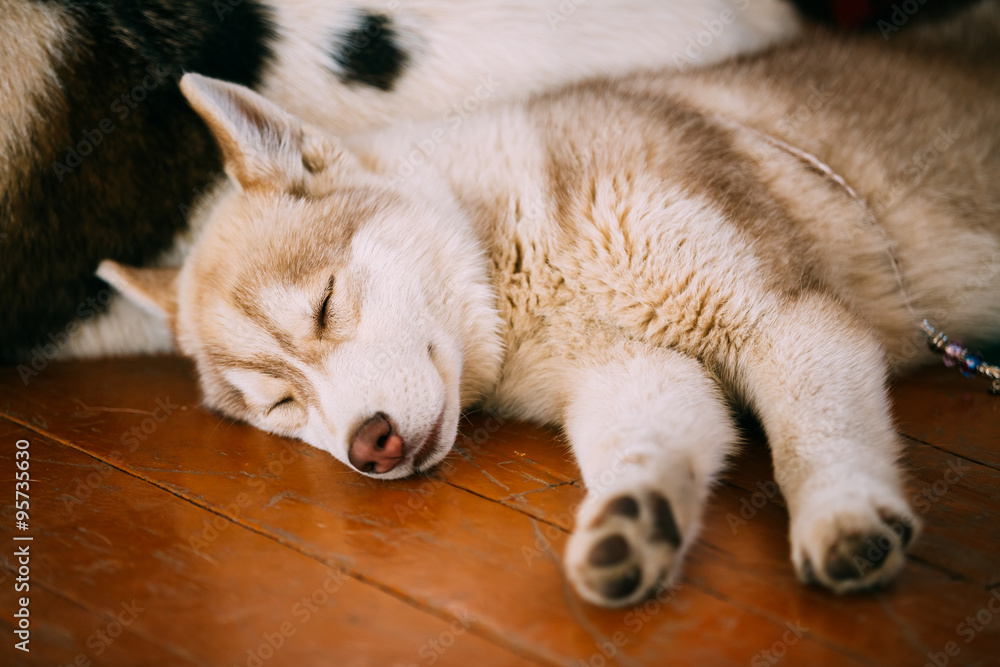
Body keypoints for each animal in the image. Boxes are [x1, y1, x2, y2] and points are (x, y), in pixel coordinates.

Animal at [97, 2, 996, 608]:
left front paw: (842, 515)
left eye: (324, 305)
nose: (369, 446)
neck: (522, 258)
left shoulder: (782, 318)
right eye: (282, 406)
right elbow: (648, 443)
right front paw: (634, 519)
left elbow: (817, 437)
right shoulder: (630, 372)